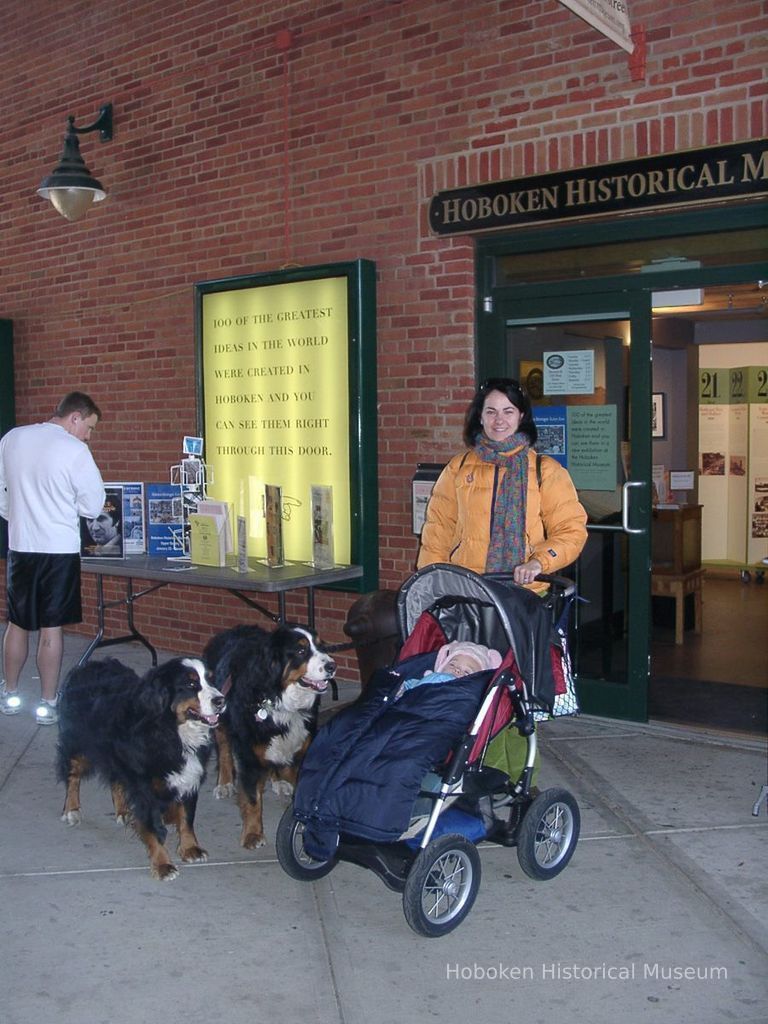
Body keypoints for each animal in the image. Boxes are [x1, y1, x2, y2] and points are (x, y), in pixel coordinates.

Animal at [56, 655, 225, 880]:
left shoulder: (190, 777)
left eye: (211, 680)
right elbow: (154, 827)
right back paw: (72, 809)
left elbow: (187, 817)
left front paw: (190, 849)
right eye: (191, 684)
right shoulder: (145, 787)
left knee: (116, 780)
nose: (221, 700)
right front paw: (163, 865)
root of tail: (90, 663)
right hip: (78, 743)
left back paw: (123, 811)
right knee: (73, 775)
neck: (172, 730)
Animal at [204, 622, 335, 847]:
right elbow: (252, 799)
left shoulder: (301, 747)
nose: (332, 666)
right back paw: (224, 784)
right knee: (224, 751)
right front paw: (253, 834)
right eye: (301, 651)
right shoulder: (249, 755)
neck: (281, 701)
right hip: (219, 718)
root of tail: (236, 629)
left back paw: (277, 780)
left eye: (321, 646)